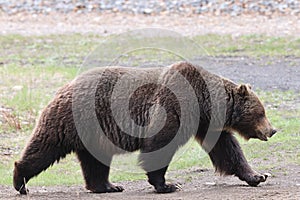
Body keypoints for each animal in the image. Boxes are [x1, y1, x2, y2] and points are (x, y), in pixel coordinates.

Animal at [13, 61, 276, 195]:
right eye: (261, 113)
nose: (272, 130)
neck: (204, 102)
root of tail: (64, 87)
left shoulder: (206, 123)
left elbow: (227, 150)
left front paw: (257, 176)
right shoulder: (174, 106)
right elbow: (160, 143)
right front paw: (167, 184)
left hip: (93, 133)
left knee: (95, 161)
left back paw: (108, 186)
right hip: (74, 119)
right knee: (45, 147)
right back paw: (20, 182)